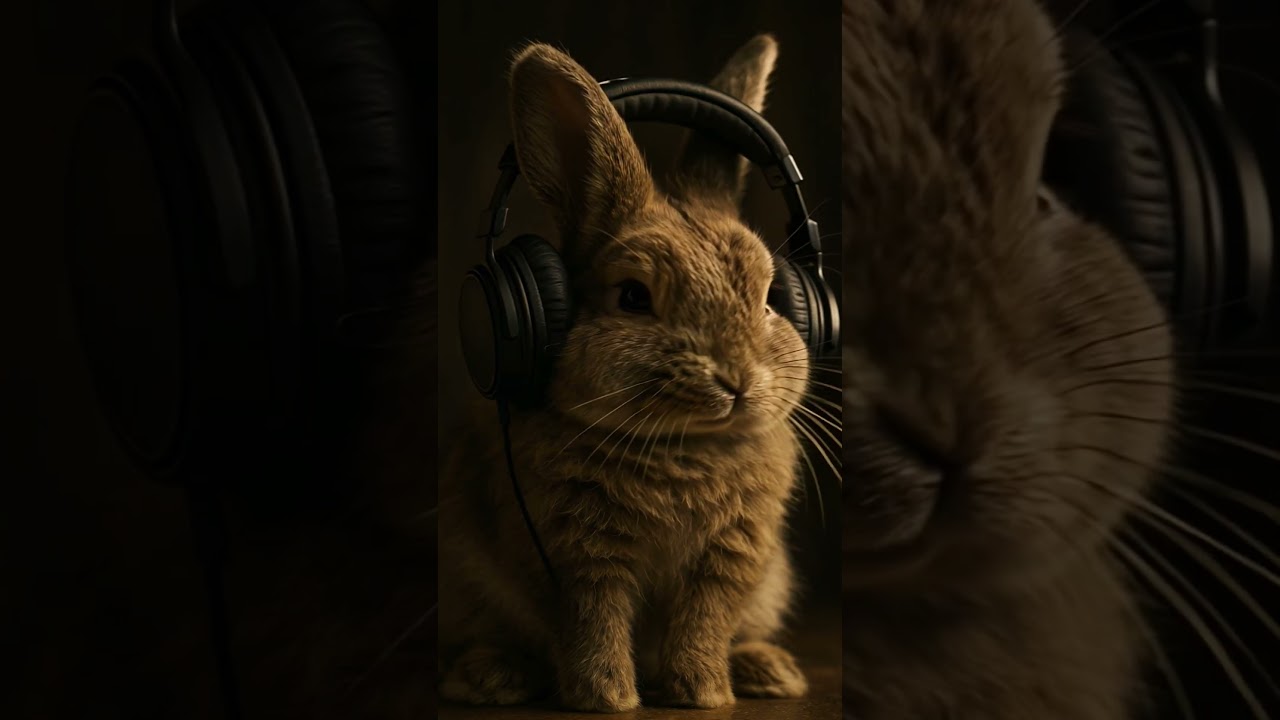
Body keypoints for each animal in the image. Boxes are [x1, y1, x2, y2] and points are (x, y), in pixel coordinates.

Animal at [437, 34, 816, 713]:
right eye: (634, 297)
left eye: (770, 297)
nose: (737, 379)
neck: (685, 446)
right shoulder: (577, 556)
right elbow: (597, 621)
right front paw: (608, 698)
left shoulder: (730, 558)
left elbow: (704, 620)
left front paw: (702, 694)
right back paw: (491, 677)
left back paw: (768, 670)